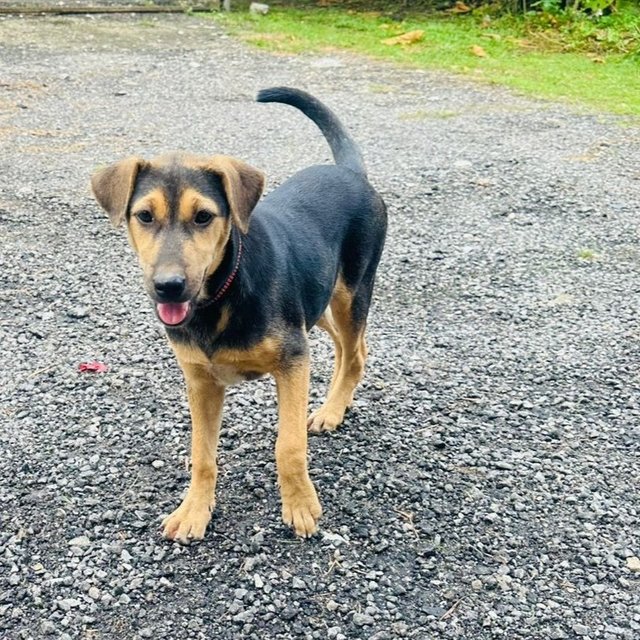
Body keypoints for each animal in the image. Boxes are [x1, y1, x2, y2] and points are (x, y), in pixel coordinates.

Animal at [90, 87, 388, 544]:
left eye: (203, 217)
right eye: (144, 216)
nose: (169, 286)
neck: (220, 296)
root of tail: (349, 172)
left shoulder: (293, 361)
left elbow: (288, 446)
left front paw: (300, 506)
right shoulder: (201, 380)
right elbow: (202, 454)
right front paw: (194, 510)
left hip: (351, 290)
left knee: (355, 352)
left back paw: (332, 410)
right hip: (316, 300)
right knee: (346, 345)